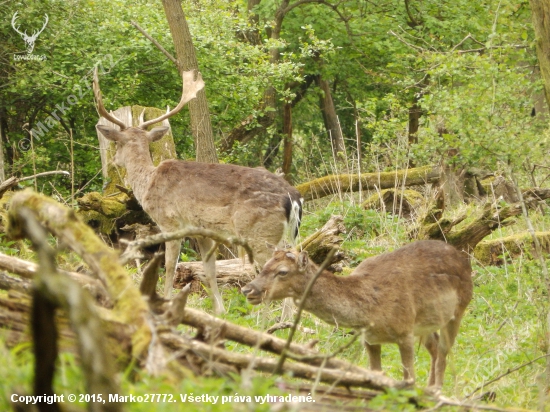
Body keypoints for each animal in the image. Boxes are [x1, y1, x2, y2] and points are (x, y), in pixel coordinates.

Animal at [93, 67, 304, 314]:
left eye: (117, 143)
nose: (114, 160)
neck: (147, 183)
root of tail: (293, 198)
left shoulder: (170, 223)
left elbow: (170, 266)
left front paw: (165, 302)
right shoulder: (202, 232)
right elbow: (209, 270)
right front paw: (220, 311)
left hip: (259, 233)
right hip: (288, 234)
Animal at [242, 240, 474, 388]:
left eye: (282, 272)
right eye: (264, 265)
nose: (247, 290)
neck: (369, 311)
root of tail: (463, 259)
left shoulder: (404, 331)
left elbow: (409, 377)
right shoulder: (369, 339)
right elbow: (376, 375)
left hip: (458, 309)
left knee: (443, 351)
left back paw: (438, 390)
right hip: (426, 324)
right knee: (434, 348)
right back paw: (430, 388)